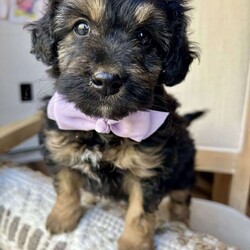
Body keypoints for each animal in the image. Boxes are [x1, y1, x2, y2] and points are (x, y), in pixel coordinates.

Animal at [26, 0, 198, 249]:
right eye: (81, 27)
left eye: (144, 36)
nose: (107, 80)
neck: (102, 126)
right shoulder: (58, 145)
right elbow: (66, 186)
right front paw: (62, 218)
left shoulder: (148, 168)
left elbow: (139, 213)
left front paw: (133, 243)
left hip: (184, 168)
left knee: (181, 199)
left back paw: (180, 222)